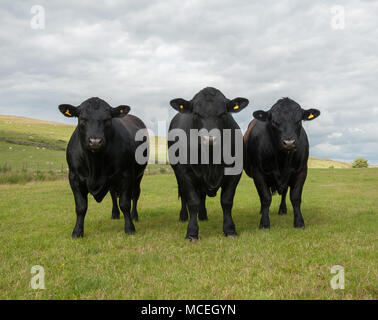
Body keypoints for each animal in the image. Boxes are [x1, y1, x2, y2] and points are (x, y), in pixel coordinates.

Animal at [58, 97, 148, 238]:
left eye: (107, 119)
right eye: (82, 119)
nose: (95, 141)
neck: (95, 164)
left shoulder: (126, 175)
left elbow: (125, 203)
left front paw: (129, 227)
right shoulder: (74, 177)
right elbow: (81, 207)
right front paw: (77, 231)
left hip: (139, 175)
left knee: (135, 194)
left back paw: (134, 216)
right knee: (113, 195)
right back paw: (115, 214)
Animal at [168, 87, 248, 240]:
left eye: (223, 113)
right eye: (196, 113)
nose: (210, 138)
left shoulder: (235, 172)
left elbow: (227, 201)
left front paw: (230, 229)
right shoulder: (184, 173)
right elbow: (192, 201)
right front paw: (192, 232)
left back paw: (203, 216)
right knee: (184, 196)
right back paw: (183, 216)